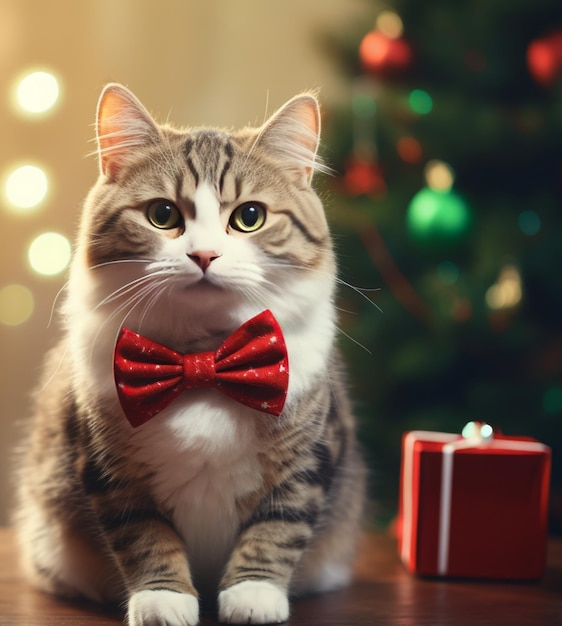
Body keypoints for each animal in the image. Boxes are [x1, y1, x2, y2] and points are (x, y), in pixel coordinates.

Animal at [13, 84, 366, 624]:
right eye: (162, 215)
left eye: (249, 217)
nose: (204, 256)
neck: (202, 361)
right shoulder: (109, 467)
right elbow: (143, 534)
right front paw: (163, 597)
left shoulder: (309, 456)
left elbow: (278, 525)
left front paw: (253, 593)